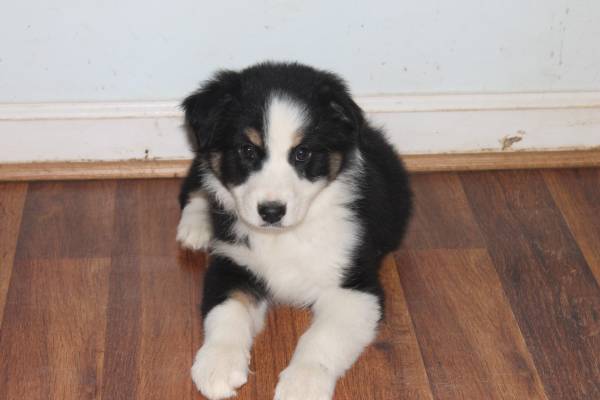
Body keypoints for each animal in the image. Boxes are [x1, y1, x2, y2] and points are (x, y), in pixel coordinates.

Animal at [176, 62, 412, 400]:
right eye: (247, 150)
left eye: (302, 153)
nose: (272, 211)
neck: (283, 237)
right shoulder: (232, 263)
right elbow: (226, 311)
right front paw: (217, 365)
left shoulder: (355, 286)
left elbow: (322, 337)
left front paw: (303, 382)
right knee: (195, 181)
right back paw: (195, 227)